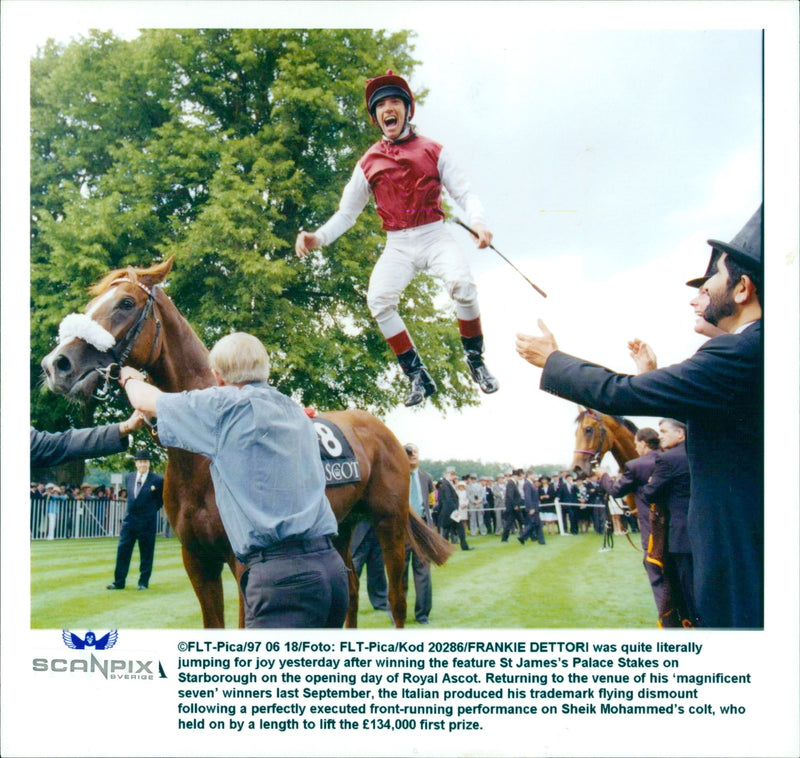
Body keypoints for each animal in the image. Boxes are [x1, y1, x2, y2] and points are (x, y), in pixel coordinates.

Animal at [43, 262, 454, 628]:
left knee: (397, 600)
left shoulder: (243, 561)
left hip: (389, 521)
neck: (201, 460)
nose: (55, 365)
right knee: (349, 588)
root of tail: (379, 429)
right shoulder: (197, 560)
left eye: (126, 303)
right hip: (342, 525)